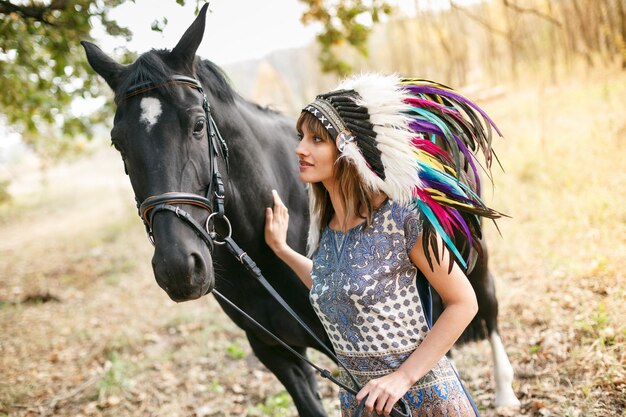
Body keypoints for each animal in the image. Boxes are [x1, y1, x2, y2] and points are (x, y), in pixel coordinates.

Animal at [80, 3, 516, 412]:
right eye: (118, 142)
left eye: (197, 126)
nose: (178, 268)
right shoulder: (277, 354)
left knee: (486, 303)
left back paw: (505, 391)